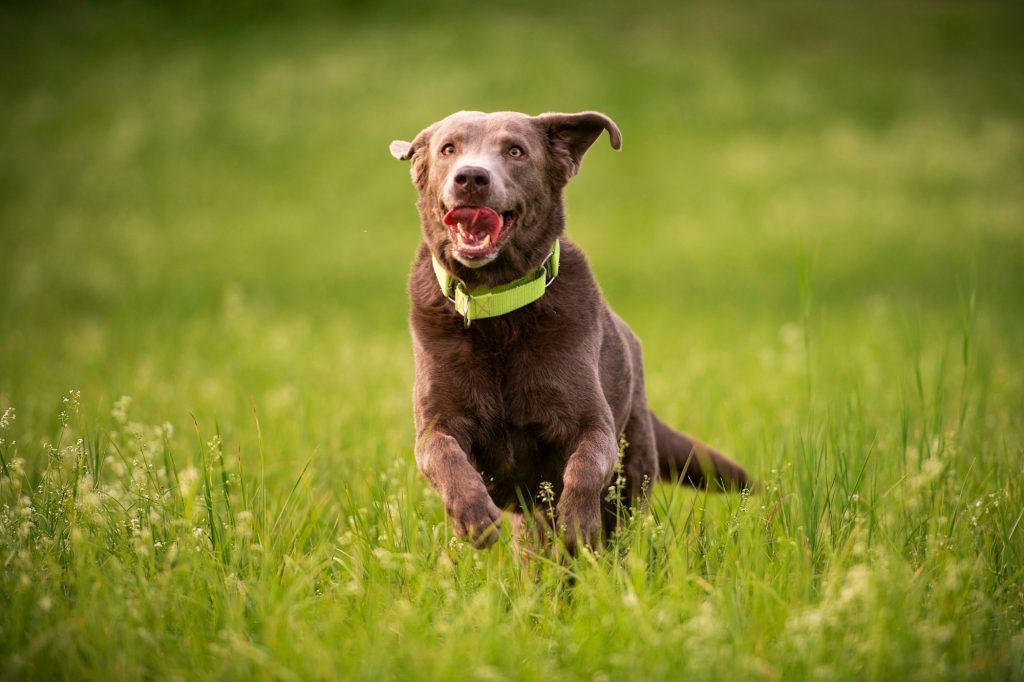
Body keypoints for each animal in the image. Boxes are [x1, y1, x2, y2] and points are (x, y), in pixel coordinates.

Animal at [387, 109, 749, 548]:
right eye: (448, 149)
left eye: (516, 151)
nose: (471, 177)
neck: (498, 308)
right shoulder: (437, 421)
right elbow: (443, 455)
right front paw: (473, 516)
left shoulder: (591, 421)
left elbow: (586, 465)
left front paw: (577, 522)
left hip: (631, 475)